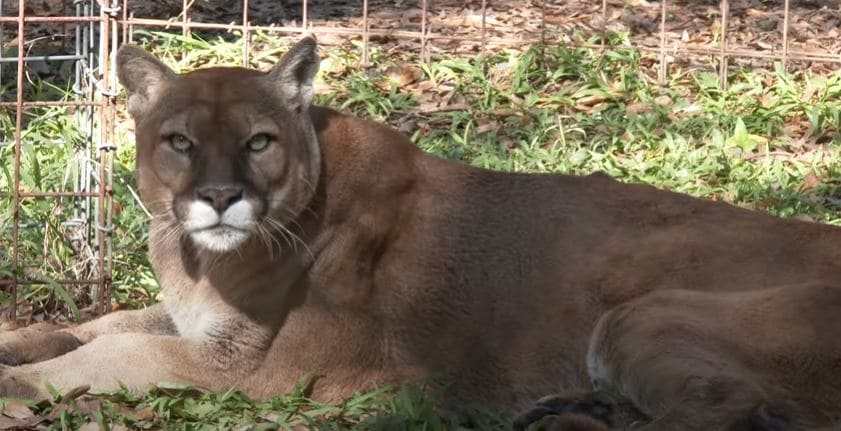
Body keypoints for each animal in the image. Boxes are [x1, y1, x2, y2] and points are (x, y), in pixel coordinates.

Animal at [1, 36, 840, 428]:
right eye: (179, 140)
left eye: (259, 141)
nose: (218, 197)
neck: (200, 261)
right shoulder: (201, 325)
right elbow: (103, 322)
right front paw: (17, 343)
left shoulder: (257, 371)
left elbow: (114, 352)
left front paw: (15, 385)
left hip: (645, 314)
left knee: (729, 407)